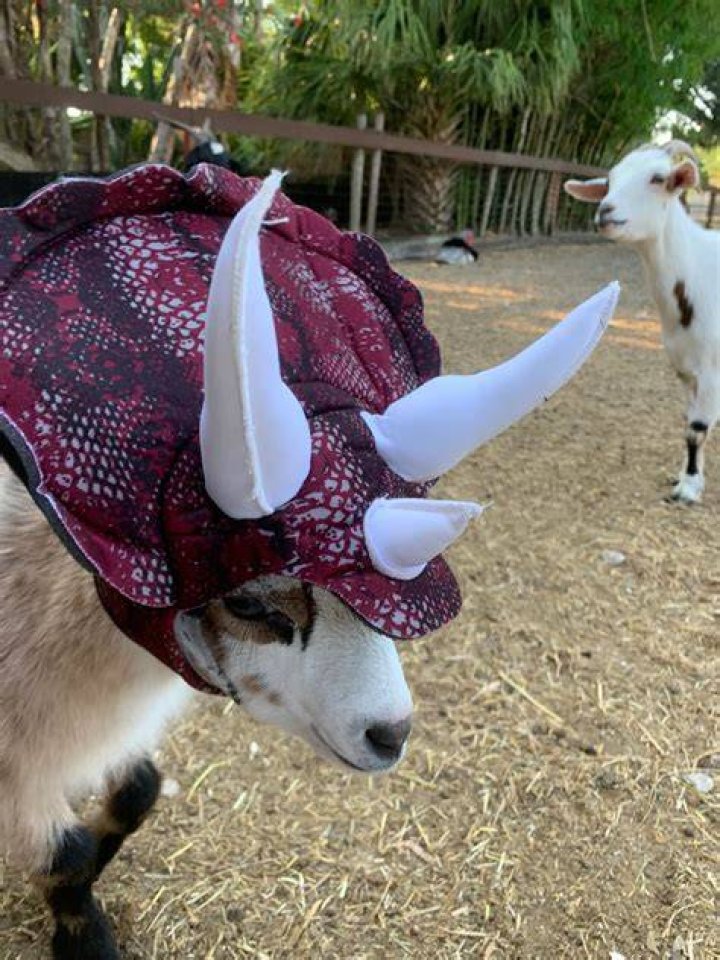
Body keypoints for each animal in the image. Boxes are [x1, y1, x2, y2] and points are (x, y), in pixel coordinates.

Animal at [565, 141, 720, 503]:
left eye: (658, 178)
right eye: (609, 181)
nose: (605, 211)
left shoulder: (712, 369)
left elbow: (697, 429)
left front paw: (688, 490)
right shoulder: (686, 370)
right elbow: (691, 423)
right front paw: (690, 478)